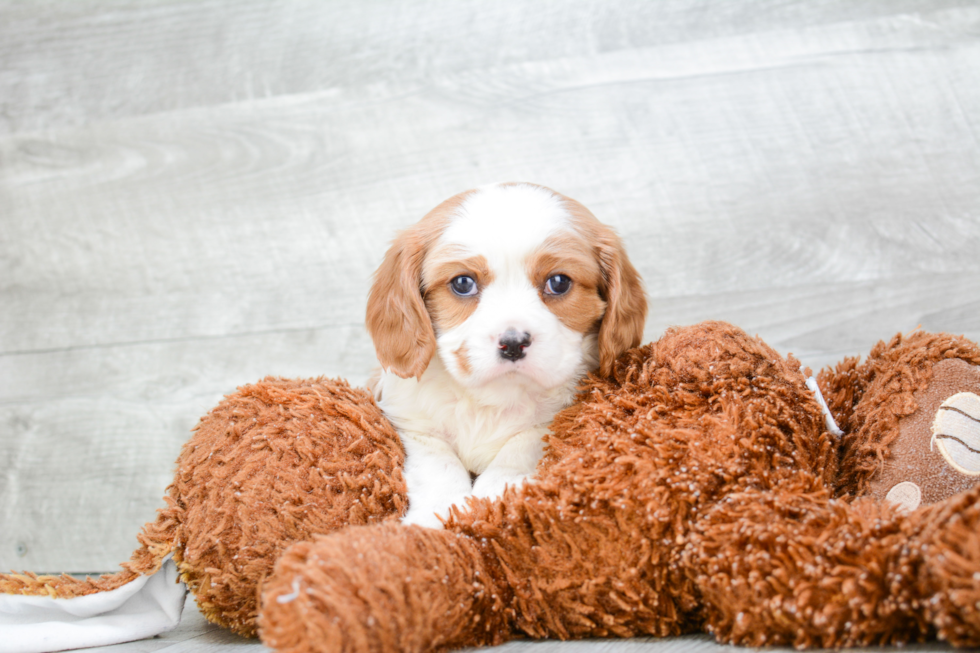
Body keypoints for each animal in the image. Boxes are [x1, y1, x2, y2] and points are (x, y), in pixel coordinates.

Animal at [364, 181, 648, 528]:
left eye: (559, 282)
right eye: (462, 283)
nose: (513, 343)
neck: (494, 395)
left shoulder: (555, 421)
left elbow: (518, 449)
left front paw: (490, 502)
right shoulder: (412, 423)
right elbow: (439, 465)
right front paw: (433, 517)